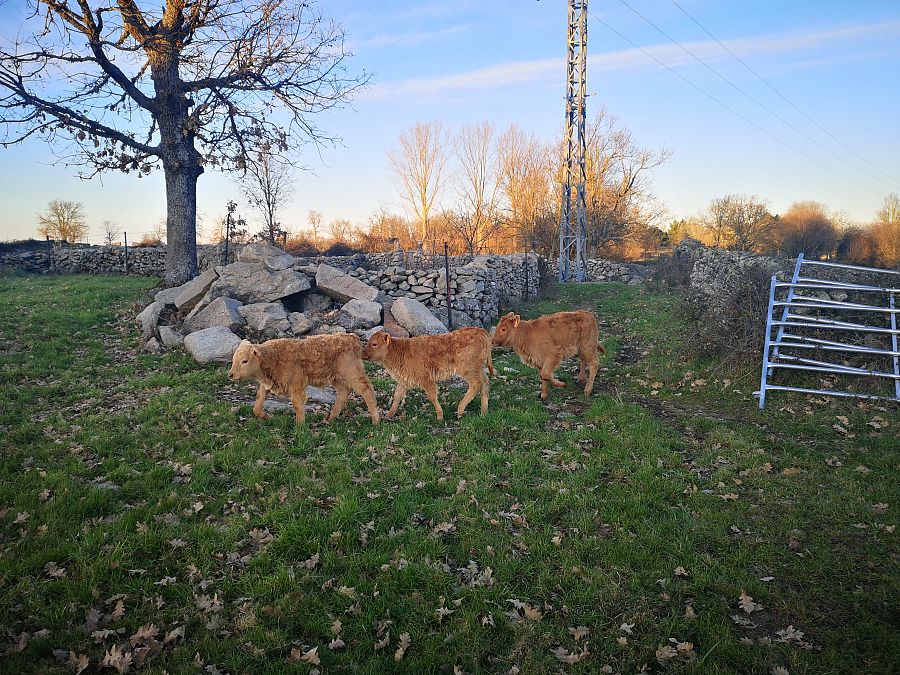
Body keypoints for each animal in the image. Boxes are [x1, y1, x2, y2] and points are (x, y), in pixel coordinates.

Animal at [229, 336, 380, 426]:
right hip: (336, 378)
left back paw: (375, 421)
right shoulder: (267, 384)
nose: (231, 374)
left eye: (244, 361)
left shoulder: (297, 383)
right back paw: (331, 419)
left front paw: (300, 425)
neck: (274, 356)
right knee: (343, 392)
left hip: (352, 374)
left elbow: (297, 403)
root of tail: (351, 338)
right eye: (234, 359)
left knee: (367, 391)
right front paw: (265, 416)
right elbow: (258, 401)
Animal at [362, 328, 496, 422]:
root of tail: (481, 331)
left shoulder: (425, 379)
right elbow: (397, 396)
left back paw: (460, 409)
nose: (363, 354)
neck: (400, 351)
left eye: (374, 344)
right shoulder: (404, 380)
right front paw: (389, 415)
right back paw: (483, 412)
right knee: (485, 383)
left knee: (476, 384)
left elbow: (432, 396)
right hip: (478, 368)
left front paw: (440, 416)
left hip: (468, 369)